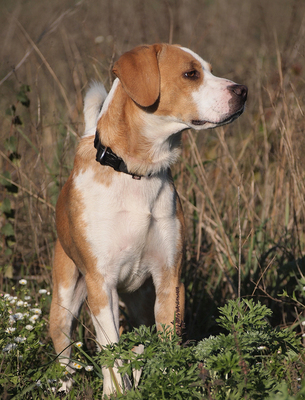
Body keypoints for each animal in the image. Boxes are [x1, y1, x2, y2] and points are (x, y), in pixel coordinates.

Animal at [48, 43, 246, 394]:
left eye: (209, 70)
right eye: (190, 73)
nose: (243, 91)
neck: (137, 172)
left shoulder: (169, 278)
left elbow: (166, 346)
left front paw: (168, 383)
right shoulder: (101, 286)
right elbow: (111, 351)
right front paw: (115, 393)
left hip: (140, 299)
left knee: (140, 345)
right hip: (65, 298)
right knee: (66, 350)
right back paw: (65, 386)